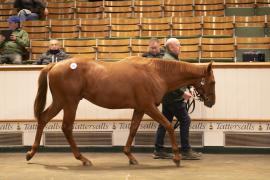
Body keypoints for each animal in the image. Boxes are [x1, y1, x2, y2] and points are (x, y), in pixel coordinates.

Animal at [25, 56, 215, 167]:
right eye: (212, 82)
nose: (211, 102)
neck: (155, 72)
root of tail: (55, 65)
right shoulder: (149, 107)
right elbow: (168, 125)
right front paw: (177, 158)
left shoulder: (139, 108)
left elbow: (133, 129)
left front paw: (130, 156)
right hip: (70, 102)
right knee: (66, 127)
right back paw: (83, 158)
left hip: (61, 102)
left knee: (43, 119)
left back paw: (31, 153)